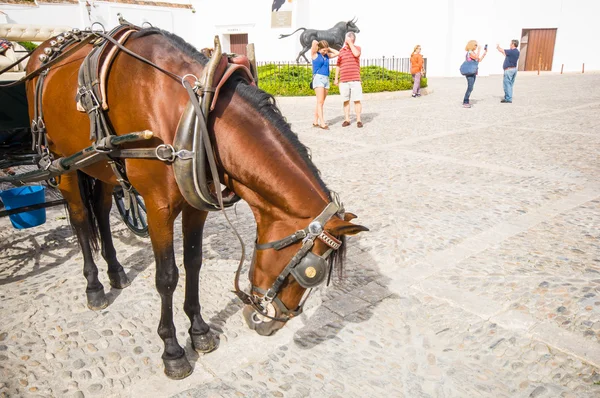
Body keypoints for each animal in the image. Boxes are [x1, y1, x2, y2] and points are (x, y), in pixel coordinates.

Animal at [25, 28, 368, 380]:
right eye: (310, 271)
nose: (273, 321)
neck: (193, 111)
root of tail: (43, 51)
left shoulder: (196, 206)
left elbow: (193, 263)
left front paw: (200, 330)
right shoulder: (157, 207)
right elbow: (167, 277)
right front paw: (172, 350)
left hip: (102, 167)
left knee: (103, 213)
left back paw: (116, 272)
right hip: (61, 162)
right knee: (82, 219)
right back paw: (94, 287)